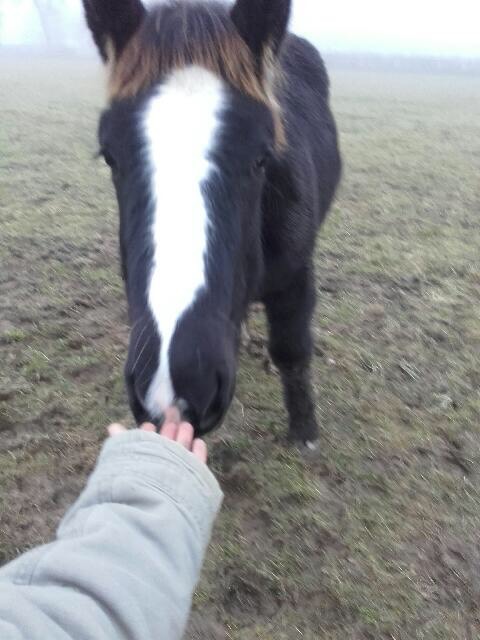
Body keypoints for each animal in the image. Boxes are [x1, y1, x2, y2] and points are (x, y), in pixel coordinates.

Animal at [82, 0, 342, 448]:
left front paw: (304, 432)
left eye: (261, 157)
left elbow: (292, 350)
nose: (177, 387)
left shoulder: (295, 275)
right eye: (109, 155)